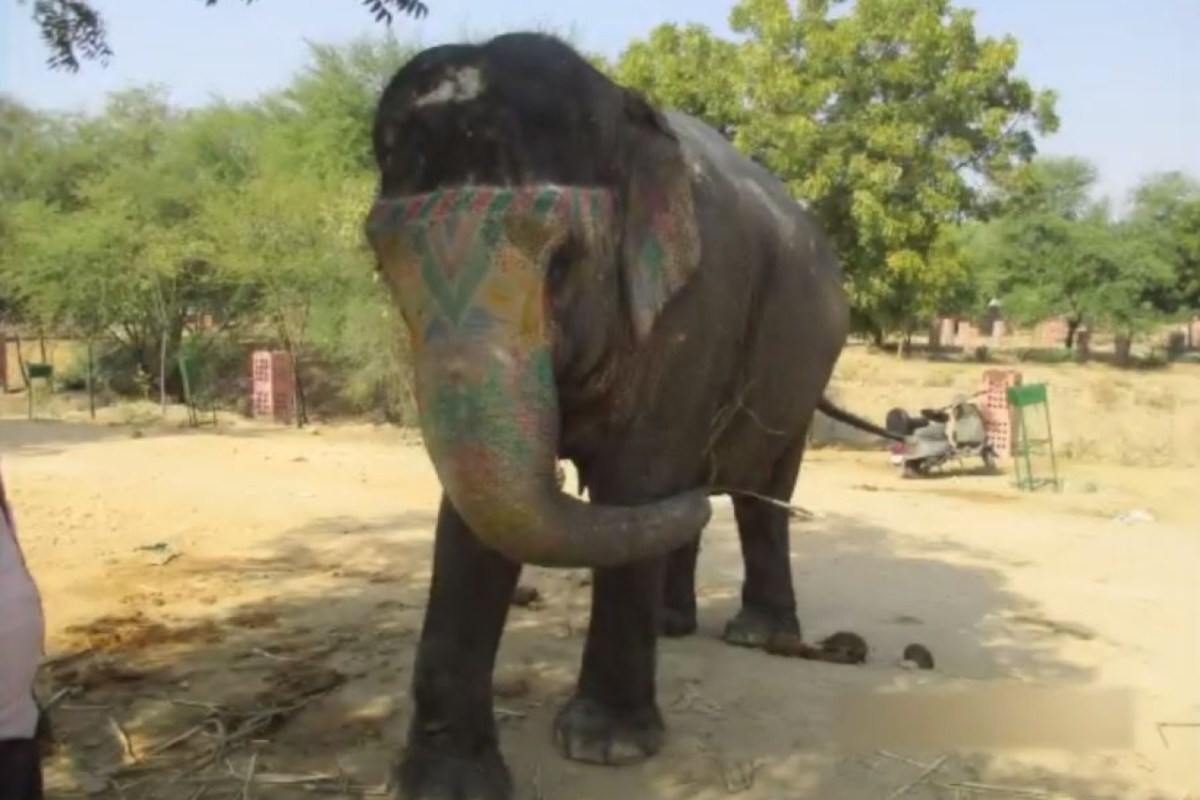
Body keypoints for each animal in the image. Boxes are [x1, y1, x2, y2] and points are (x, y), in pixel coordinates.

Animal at [364, 31, 900, 800]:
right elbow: (473, 518)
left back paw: (755, 634)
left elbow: (637, 481)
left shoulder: (692, 307)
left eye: (562, 261)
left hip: (804, 370)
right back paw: (676, 622)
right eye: (384, 268)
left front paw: (606, 749)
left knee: (758, 491)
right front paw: (445, 784)